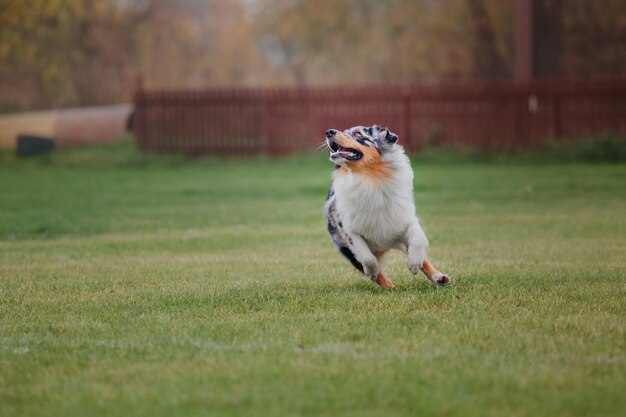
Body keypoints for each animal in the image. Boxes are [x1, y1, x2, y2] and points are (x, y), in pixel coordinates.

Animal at [322, 123, 448, 288]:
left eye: (358, 134)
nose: (329, 132)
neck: (370, 178)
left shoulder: (403, 218)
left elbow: (418, 238)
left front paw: (414, 263)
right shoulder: (346, 228)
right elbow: (367, 257)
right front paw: (373, 273)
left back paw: (439, 277)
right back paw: (388, 286)